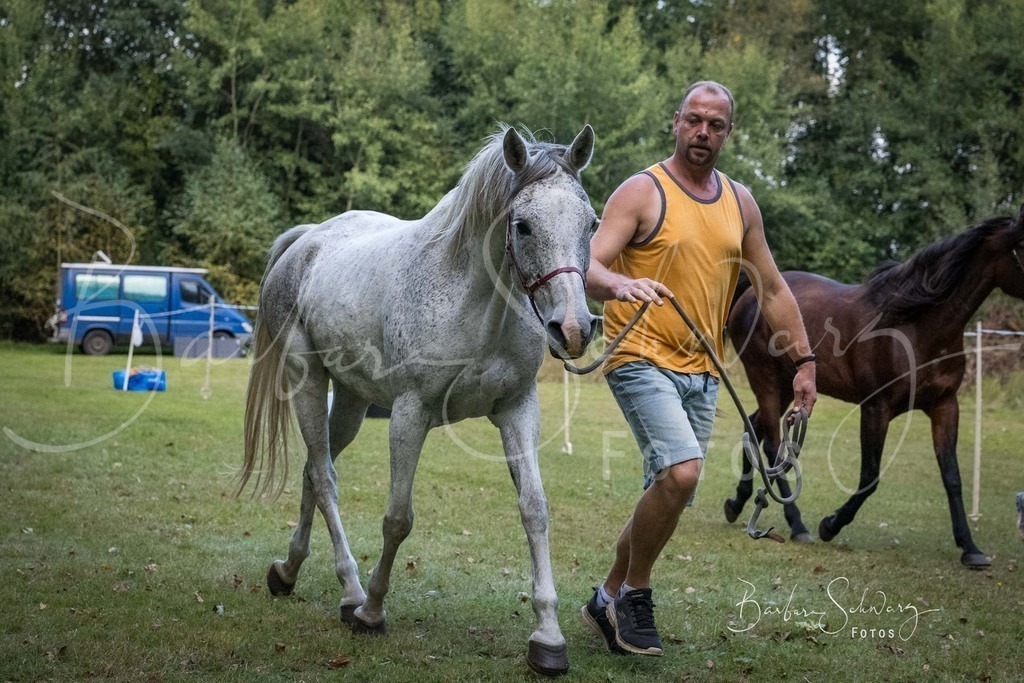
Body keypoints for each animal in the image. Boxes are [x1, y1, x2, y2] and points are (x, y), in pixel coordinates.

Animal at [239, 125, 598, 676]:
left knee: (312, 473)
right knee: (324, 476)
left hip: (350, 401)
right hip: (308, 383)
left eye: (592, 223)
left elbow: (534, 510)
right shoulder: (410, 415)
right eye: (522, 226)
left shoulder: (517, 410)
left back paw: (289, 570)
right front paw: (372, 612)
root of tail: (306, 243)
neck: (474, 303)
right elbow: (397, 518)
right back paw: (350, 590)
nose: (574, 329)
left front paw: (548, 636)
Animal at [724, 206, 1024, 568]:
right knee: (771, 443)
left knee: (754, 427)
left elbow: (952, 476)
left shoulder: (945, 405)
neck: (916, 326)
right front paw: (830, 525)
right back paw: (798, 525)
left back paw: (737, 503)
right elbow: (869, 477)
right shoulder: (876, 408)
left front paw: (971, 548)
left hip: (788, 387)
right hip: (766, 381)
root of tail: (749, 295)